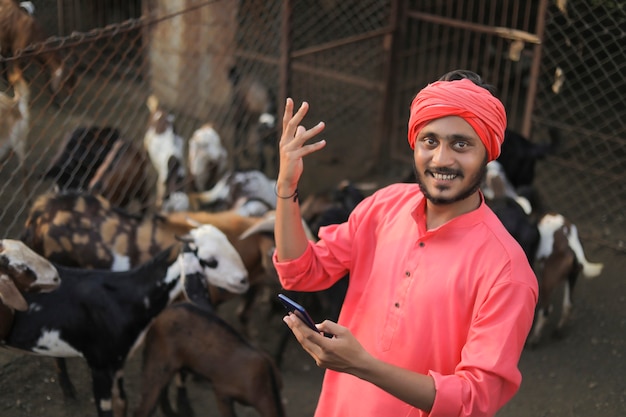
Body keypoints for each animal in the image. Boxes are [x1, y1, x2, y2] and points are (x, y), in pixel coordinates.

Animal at [528, 213, 600, 346]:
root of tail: (574, 250)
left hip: (547, 282)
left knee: (546, 311)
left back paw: (534, 338)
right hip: (571, 278)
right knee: (568, 306)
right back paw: (557, 331)